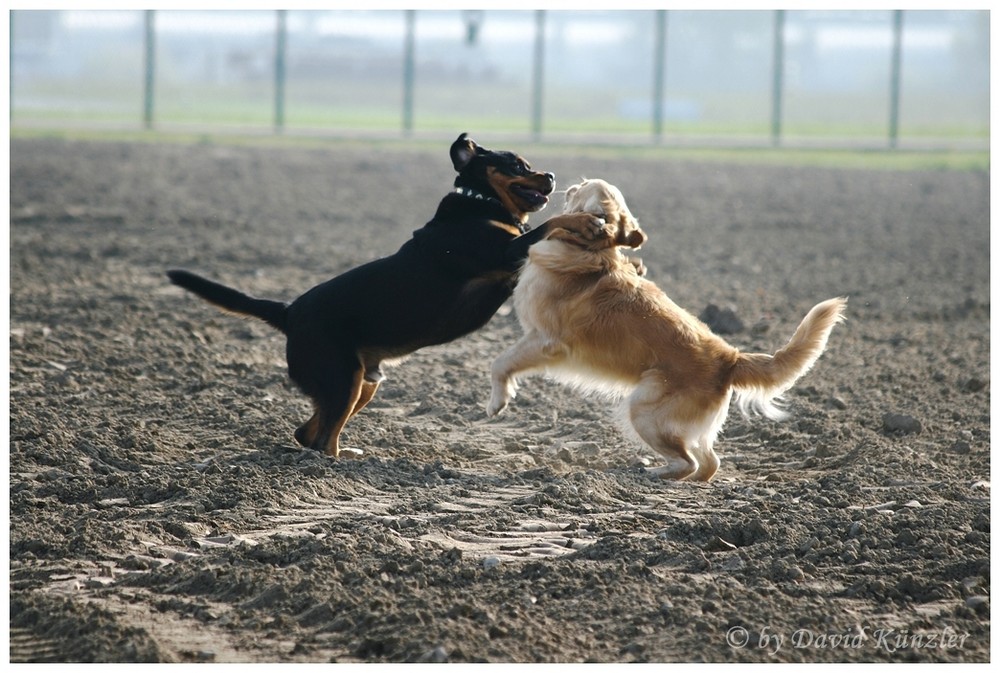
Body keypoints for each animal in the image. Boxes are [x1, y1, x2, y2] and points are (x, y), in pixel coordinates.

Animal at [168, 133, 600, 456]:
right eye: (517, 165)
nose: (551, 174)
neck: (480, 203)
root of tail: (289, 312)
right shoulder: (507, 253)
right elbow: (550, 224)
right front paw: (586, 221)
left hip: (362, 383)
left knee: (308, 433)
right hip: (342, 379)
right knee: (322, 439)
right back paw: (337, 464)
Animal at [488, 178, 848, 480]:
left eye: (585, 186)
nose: (568, 182)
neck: (588, 250)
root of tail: (730, 358)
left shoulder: (544, 340)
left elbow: (500, 363)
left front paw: (498, 401)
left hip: (643, 410)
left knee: (688, 462)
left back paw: (652, 474)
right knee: (709, 462)